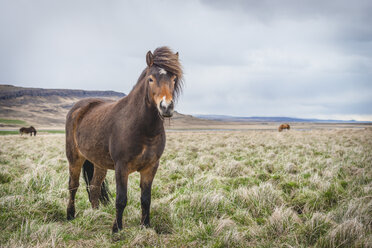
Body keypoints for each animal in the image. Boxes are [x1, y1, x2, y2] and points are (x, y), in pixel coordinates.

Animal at [67, 46, 185, 232]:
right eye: (151, 79)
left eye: (173, 79)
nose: (166, 107)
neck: (143, 129)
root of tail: (78, 108)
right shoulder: (121, 166)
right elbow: (121, 199)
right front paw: (117, 229)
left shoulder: (151, 167)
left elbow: (146, 199)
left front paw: (145, 226)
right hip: (74, 158)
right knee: (73, 186)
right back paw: (70, 215)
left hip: (99, 163)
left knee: (94, 187)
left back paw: (96, 215)